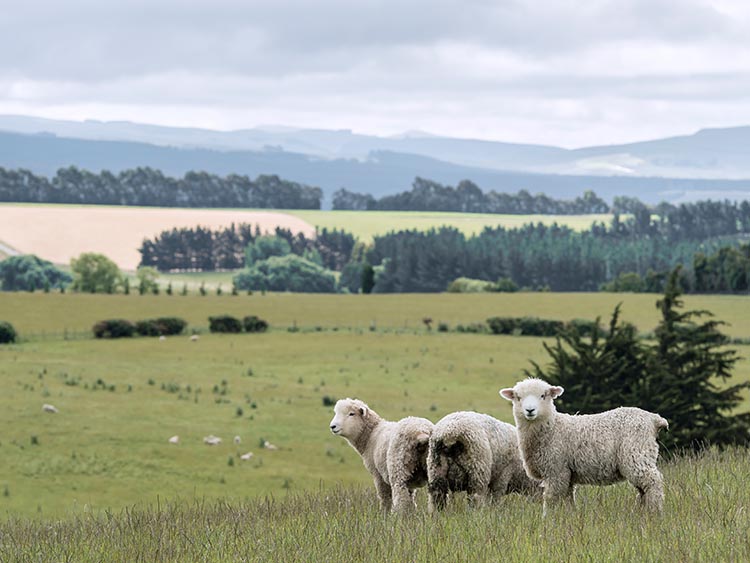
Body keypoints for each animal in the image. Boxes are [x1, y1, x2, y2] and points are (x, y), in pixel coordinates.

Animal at [500, 378, 668, 516]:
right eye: (518, 397)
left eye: (543, 395)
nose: (530, 410)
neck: (552, 428)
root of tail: (654, 419)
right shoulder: (567, 474)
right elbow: (568, 499)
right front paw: (569, 518)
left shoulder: (556, 470)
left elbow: (551, 499)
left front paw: (547, 520)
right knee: (643, 489)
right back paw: (641, 512)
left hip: (636, 454)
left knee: (653, 482)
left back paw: (655, 513)